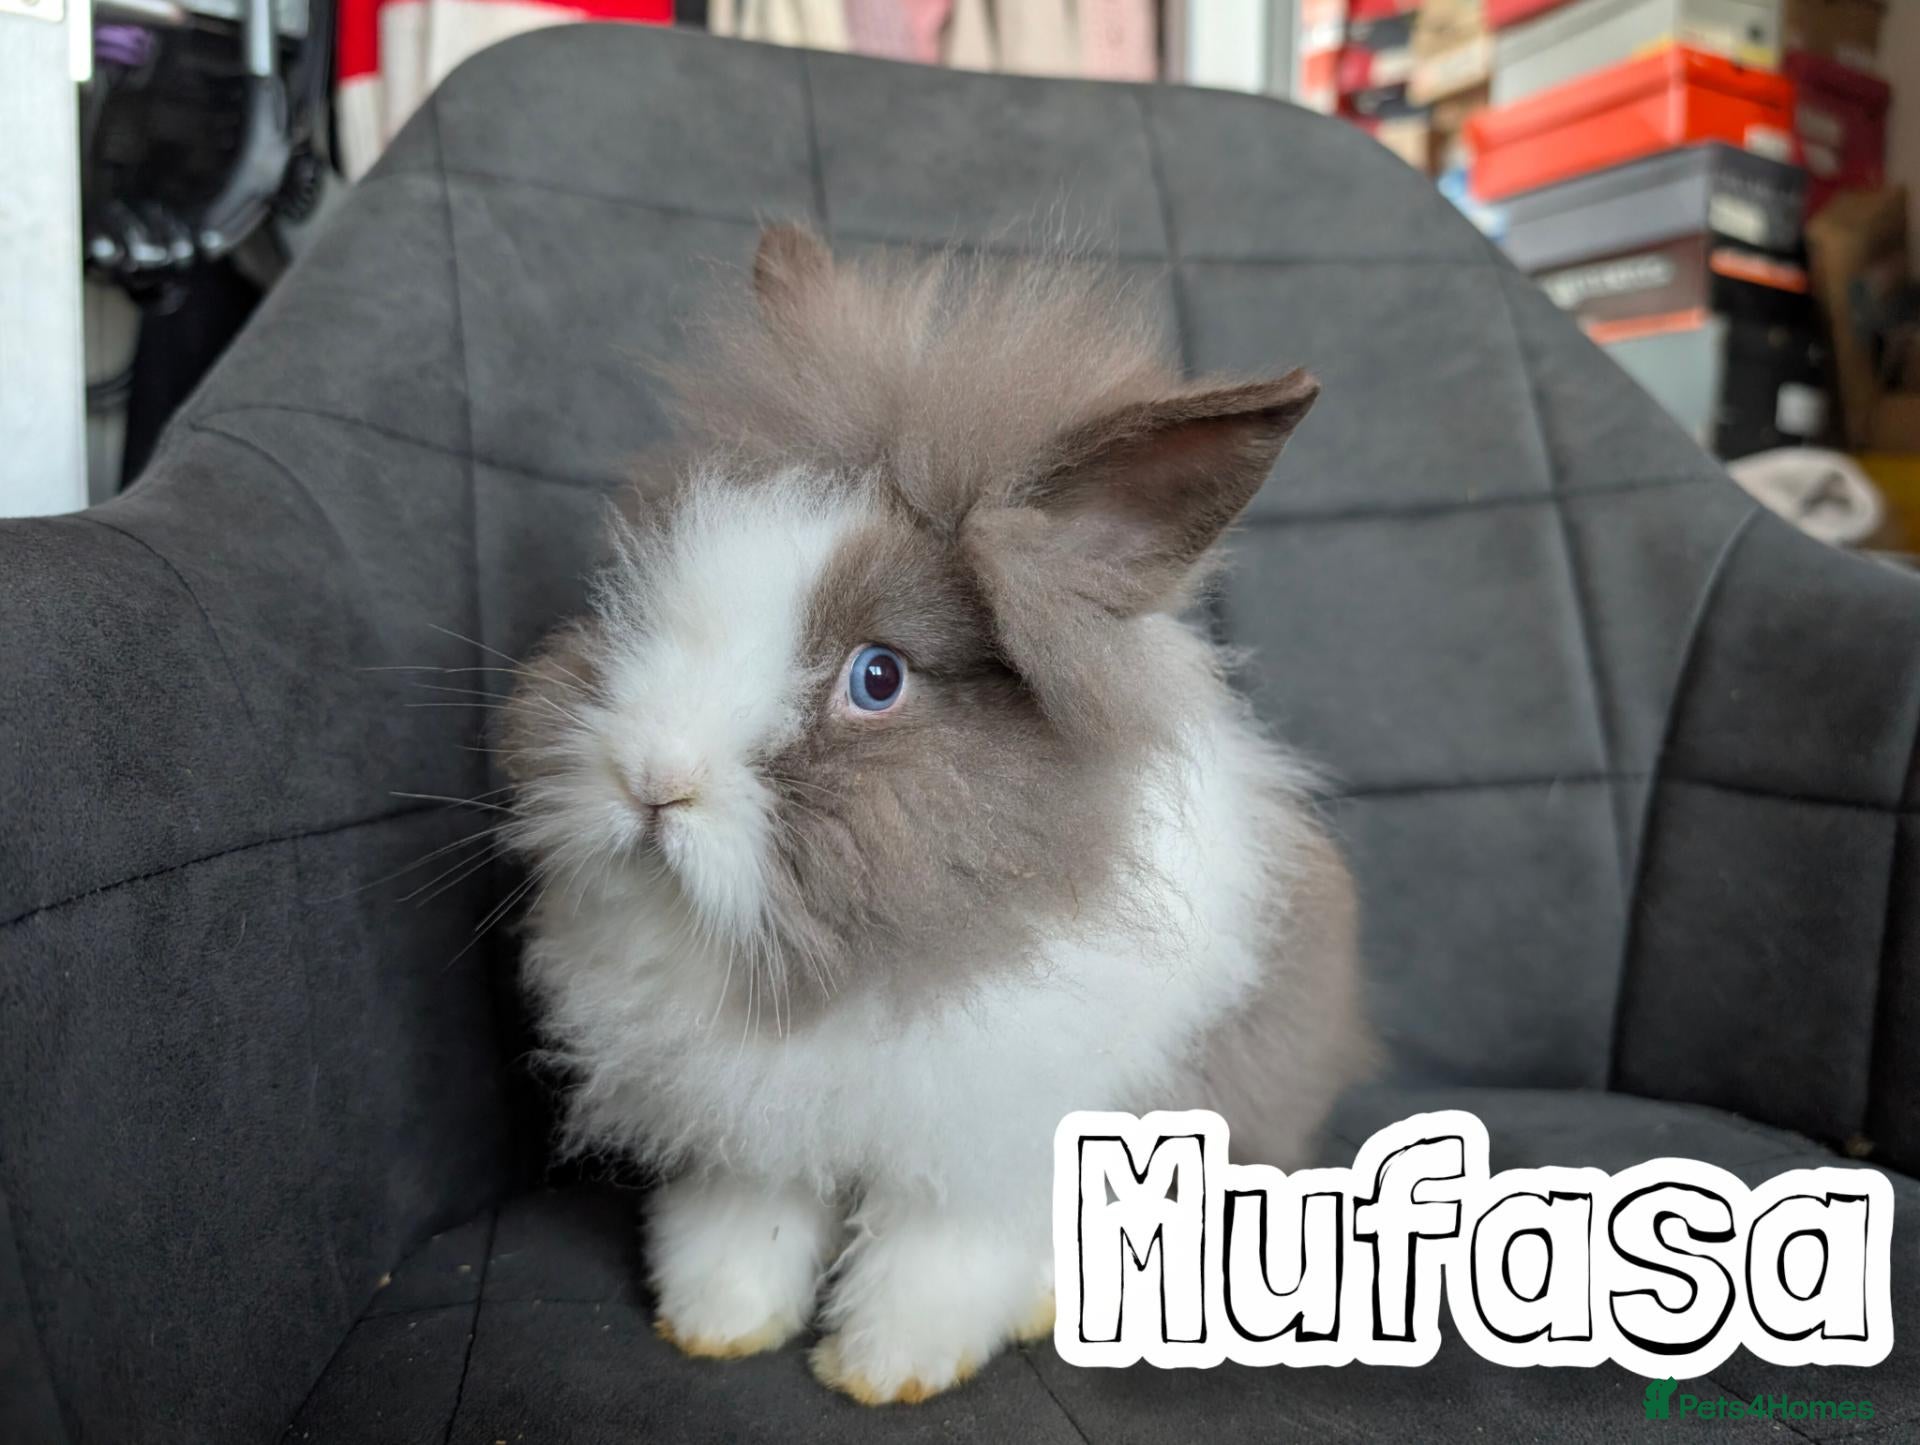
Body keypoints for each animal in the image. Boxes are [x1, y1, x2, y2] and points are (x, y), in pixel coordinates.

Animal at [501, 224, 1373, 1405]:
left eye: (878, 678)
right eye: (646, 594)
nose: (650, 777)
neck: (860, 970)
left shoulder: (992, 1145)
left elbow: (938, 1256)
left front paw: (885, 1367)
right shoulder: (748, 1124)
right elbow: (744, 1224)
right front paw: (716, 1323)